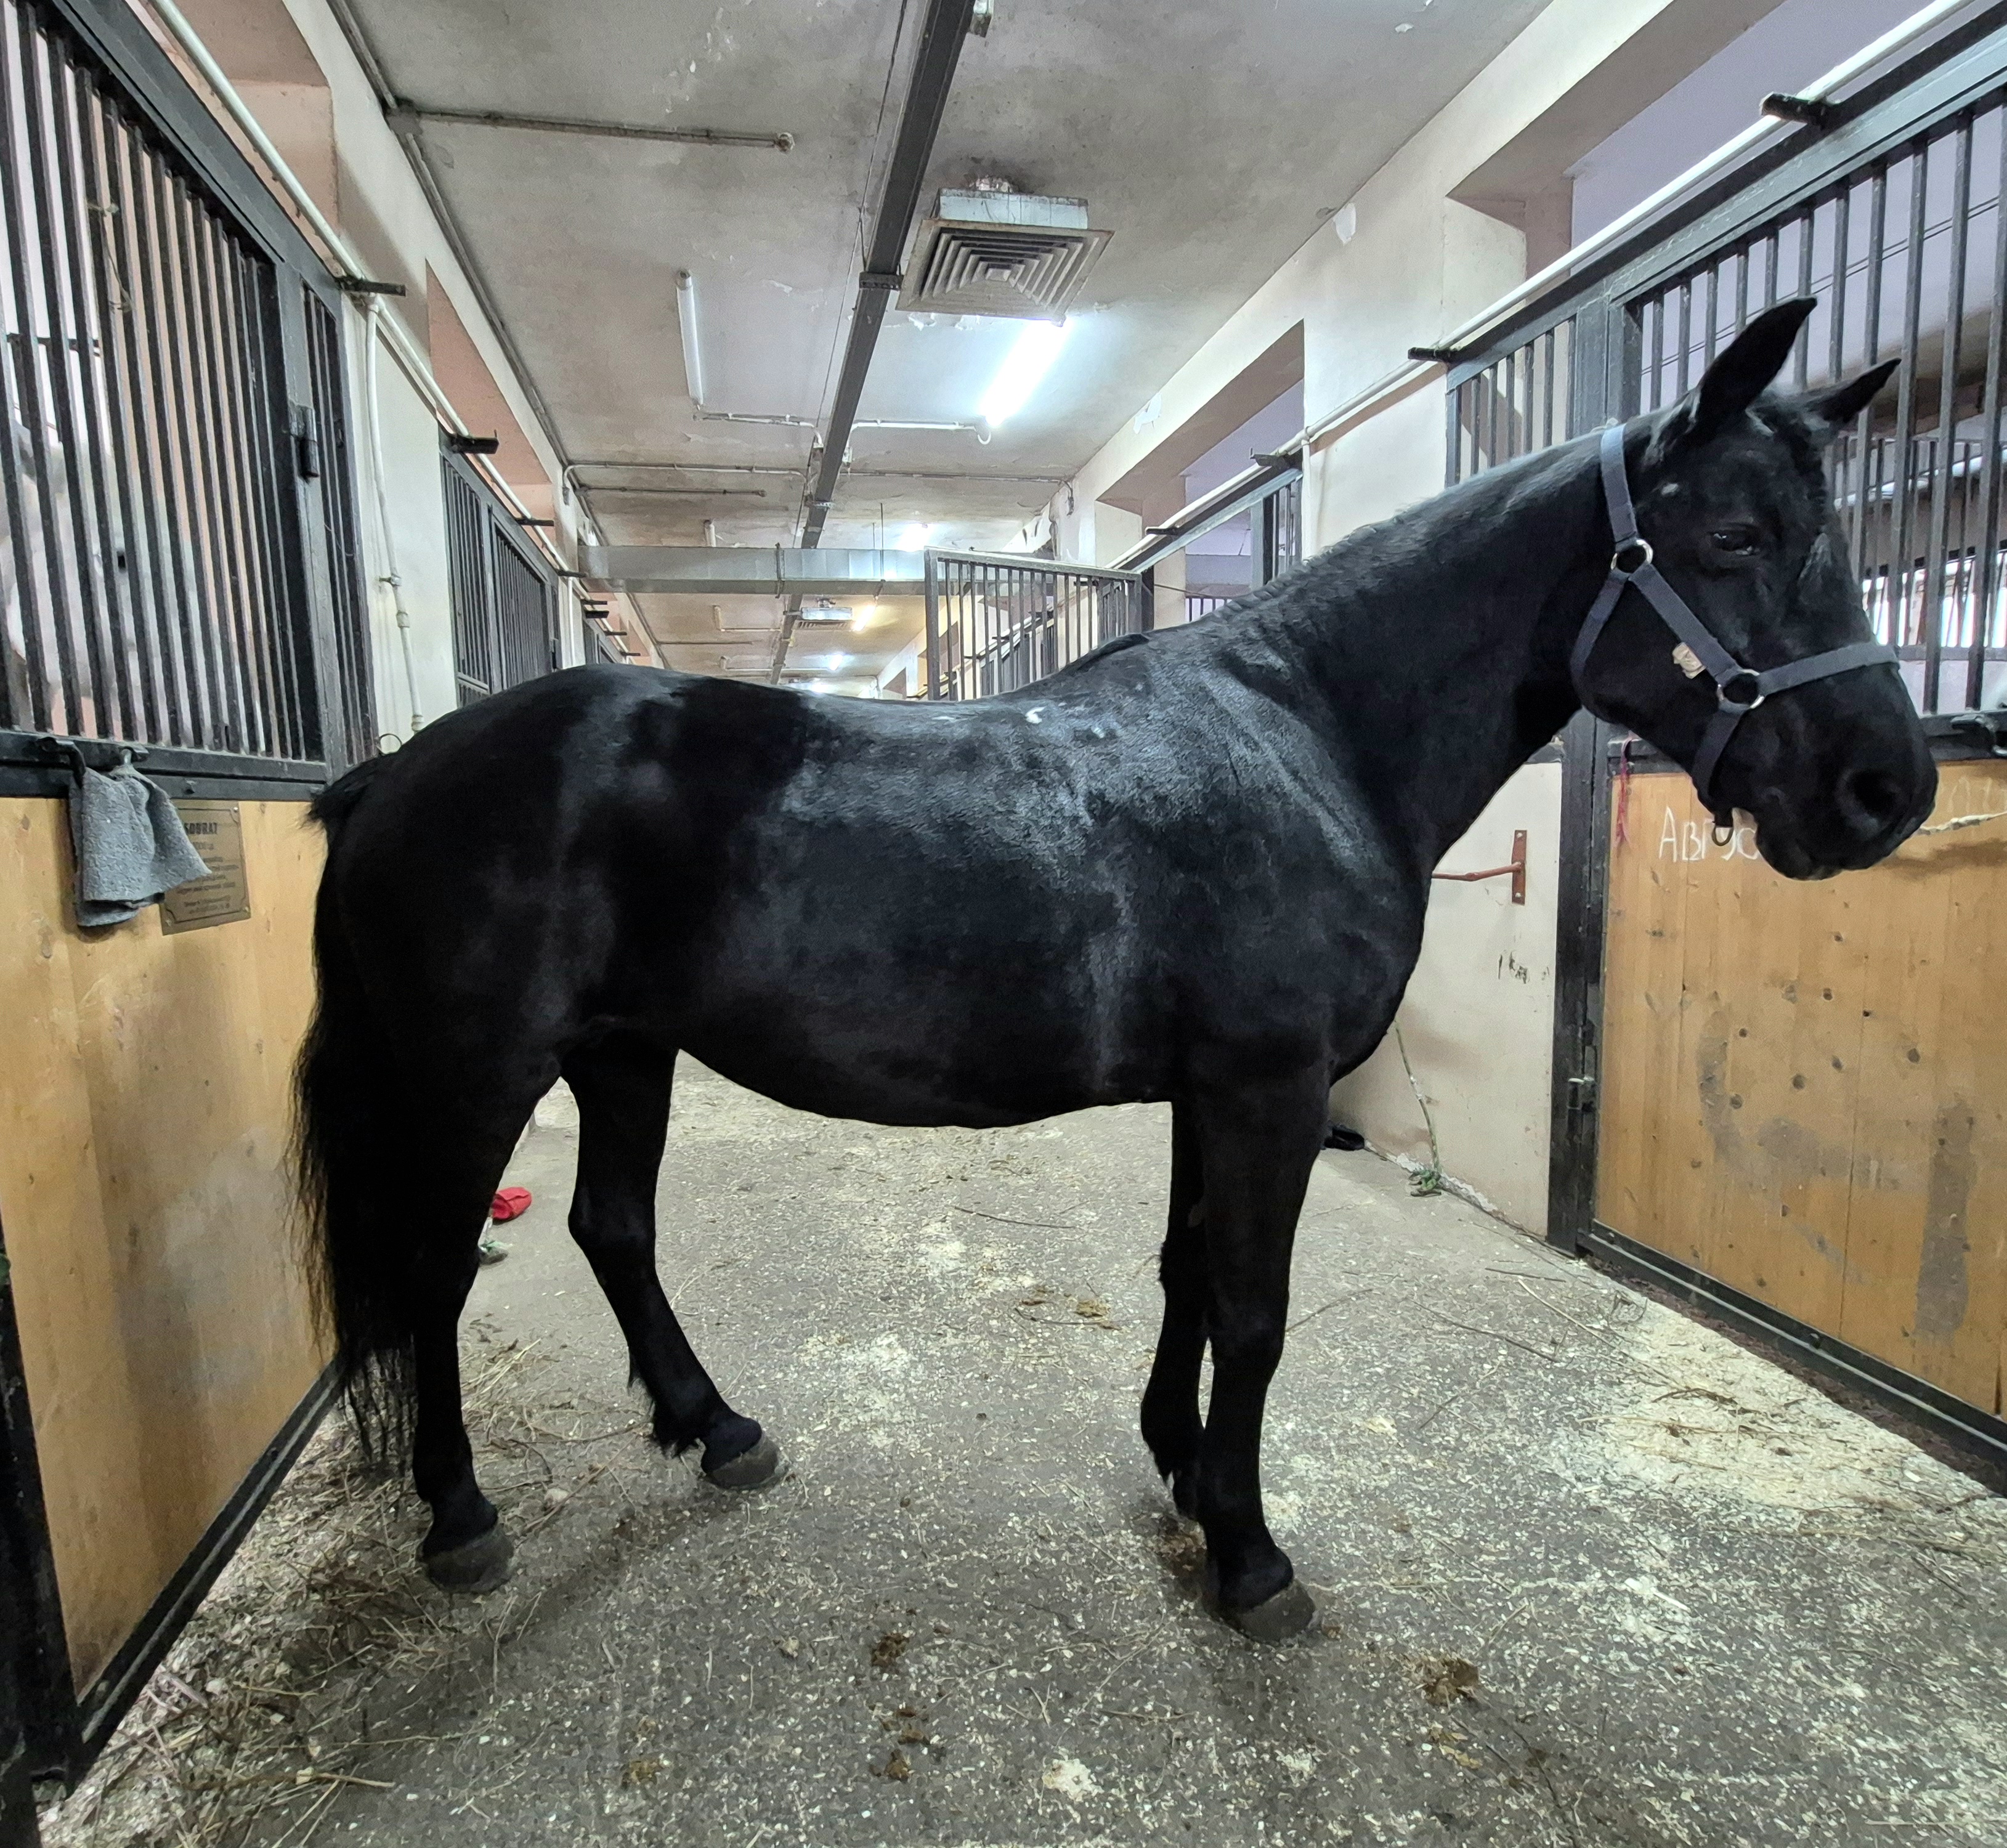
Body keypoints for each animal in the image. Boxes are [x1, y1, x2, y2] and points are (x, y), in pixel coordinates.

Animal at [295, 299, 1934, 1641]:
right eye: (1731, 539)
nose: (1886, 789)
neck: (1308, 730)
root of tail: (392, 775)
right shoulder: (1271, 1087)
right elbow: (1255, 1308)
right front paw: (1253, 1557)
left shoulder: (1218, 1091)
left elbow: (1189, 1274)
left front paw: (1183, 1472)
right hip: (482, 1072)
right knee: (437, 1268)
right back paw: (462, 1516)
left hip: (624, 1051)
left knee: (612, 1227)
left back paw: (721, 1429)